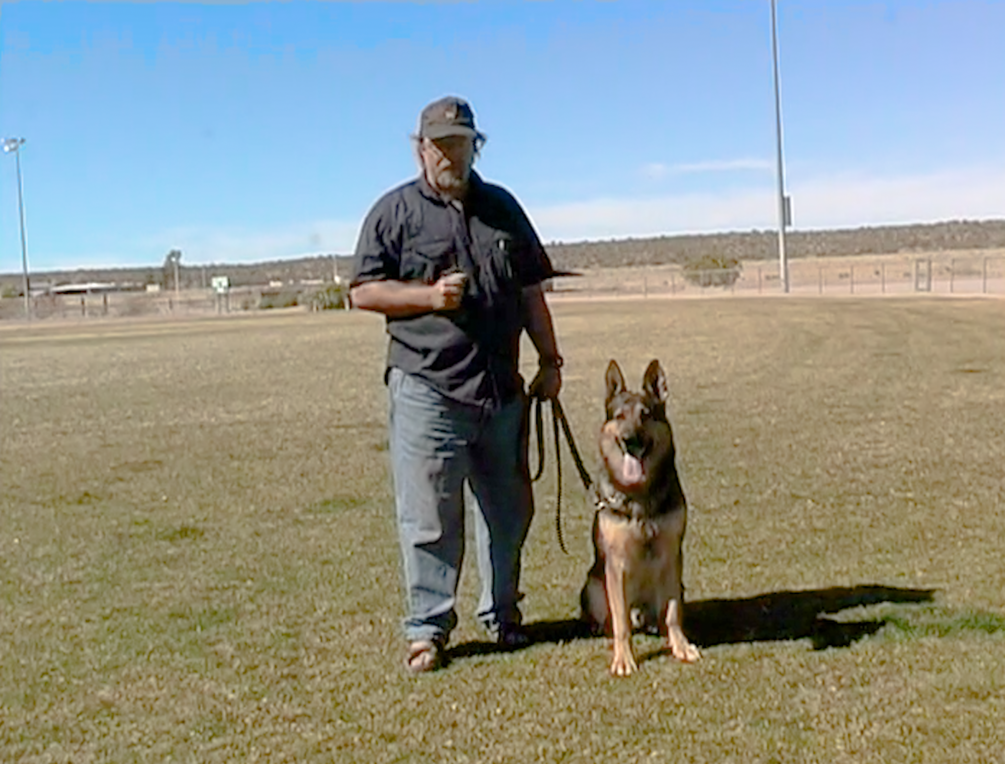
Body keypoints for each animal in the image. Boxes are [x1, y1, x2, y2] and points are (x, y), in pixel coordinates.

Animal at [580, 359, 701, 676]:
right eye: (619, 416)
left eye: (645, 415)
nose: (629, 440)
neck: (639, 494)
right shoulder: (615, 565)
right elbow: (620, 621)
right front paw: (623, 658)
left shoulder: (672, 557)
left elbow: (672, 614)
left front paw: (681, 646)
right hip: (594, 584)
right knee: (614, 618)